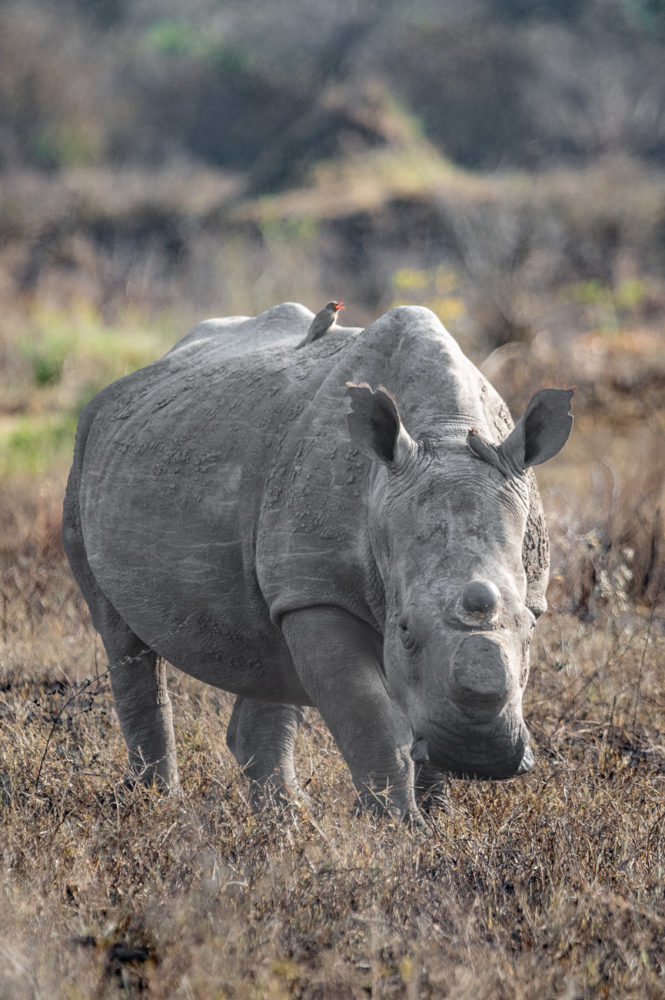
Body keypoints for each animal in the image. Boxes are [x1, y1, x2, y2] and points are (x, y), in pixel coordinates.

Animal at [62, 303, 572, 822]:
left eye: (531, 629)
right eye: (405, 631)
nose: (481, 754)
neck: (447, 431)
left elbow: (419, 711)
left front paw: (440, 821)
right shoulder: (319, 594)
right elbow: (373, 720)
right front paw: (397, 827)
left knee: (268, 655)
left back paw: (283, 821)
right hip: (84, 452)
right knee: (121, 637)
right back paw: (159, 805)